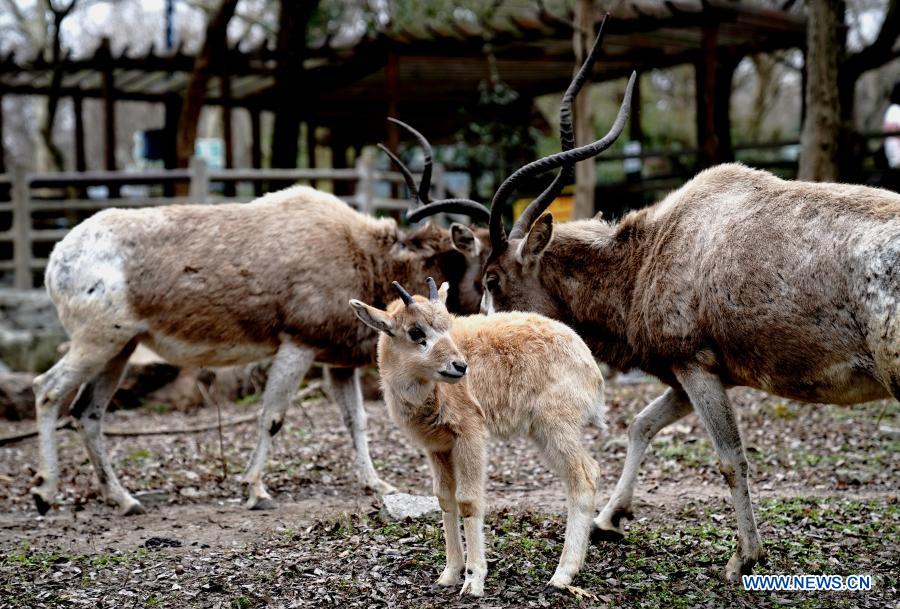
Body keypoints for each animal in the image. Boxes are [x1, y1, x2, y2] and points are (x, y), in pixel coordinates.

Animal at [352, 278, 604, 596]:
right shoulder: (437, 447)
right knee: (587, 472)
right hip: (542, 432)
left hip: (556, 426)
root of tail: (589, 363)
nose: (459, 366)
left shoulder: (470, 435)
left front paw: (473, 580)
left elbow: (468, 500)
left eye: (447, 325)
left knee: (584, 477)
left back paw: (562, 574)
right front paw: (449, 574)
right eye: (415, 332)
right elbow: (444, 499)